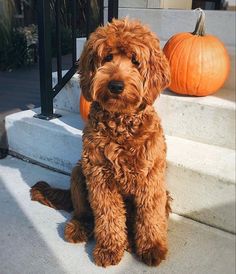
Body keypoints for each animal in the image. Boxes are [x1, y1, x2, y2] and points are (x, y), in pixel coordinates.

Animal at [30, 18, 171, 268]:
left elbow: (150, 213)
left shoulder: (151, 177)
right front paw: (109, 248)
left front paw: (152, 246)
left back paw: (131, 241)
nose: (115, 85)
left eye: (135, 61)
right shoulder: (99, 175)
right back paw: (80, 228)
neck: (121, 123)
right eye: (107, 57)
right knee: (84, 213)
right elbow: (108, 215)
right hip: (79, 172)